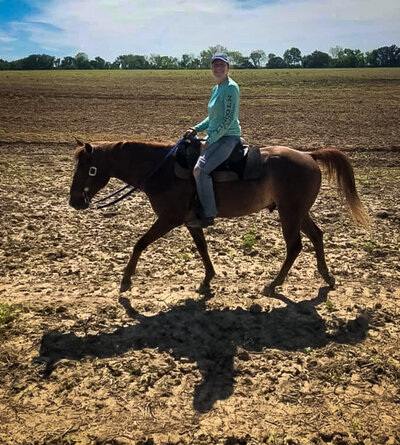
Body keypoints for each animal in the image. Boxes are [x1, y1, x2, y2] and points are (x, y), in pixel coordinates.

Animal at [69, 139, 368, 296]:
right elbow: (202, 247)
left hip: (290, 213)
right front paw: (208, 278)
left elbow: (140, 243)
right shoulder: (191, 220)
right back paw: (326, 276)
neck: (160, 170)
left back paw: (274, 284)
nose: (74, 201)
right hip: (298, 212)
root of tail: (308, 155)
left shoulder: (169, 218)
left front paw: (127, 279)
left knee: (295, 246)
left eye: (88, 169)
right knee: (317, 236)